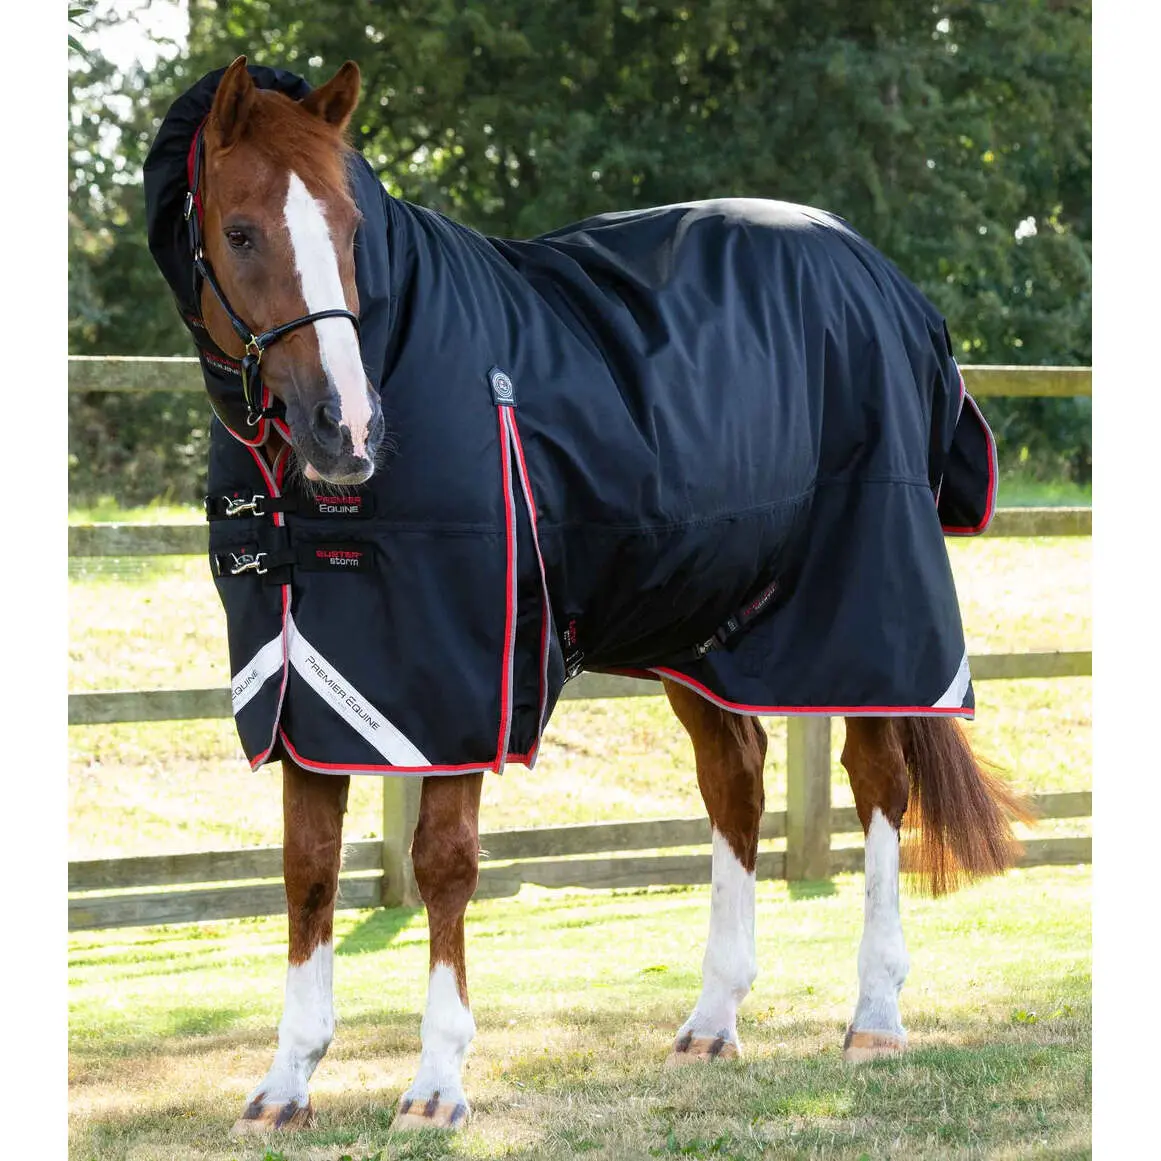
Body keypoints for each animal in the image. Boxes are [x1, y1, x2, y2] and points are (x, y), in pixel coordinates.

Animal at [142, 57, 1029, 1135]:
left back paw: (874, 1016)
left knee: (879, 783)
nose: (344, 427)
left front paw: (437, 1083)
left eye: (351, 229)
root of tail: (887, 282)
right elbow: (308, 867)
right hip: (705, 628)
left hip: (865, 614)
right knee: (736, 780)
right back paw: (712, 1022)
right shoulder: (310, 684)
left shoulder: (461, 680)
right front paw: (285, 1082)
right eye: (240, 231)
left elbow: (442, 863)